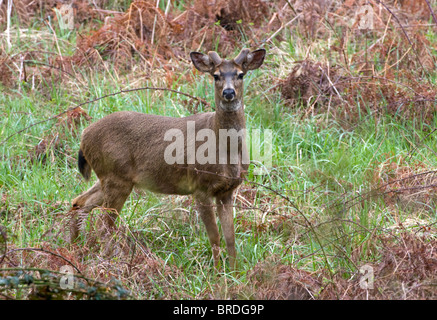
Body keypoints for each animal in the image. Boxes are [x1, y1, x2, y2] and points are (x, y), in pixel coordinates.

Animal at [70, 48, 266, 270]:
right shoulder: (200, 186)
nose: (229, 92)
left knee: (79, 202)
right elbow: (214, 236)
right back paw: (110, 262)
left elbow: (230, 237)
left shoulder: (227, 190)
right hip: (115, 178)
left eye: (241, 74)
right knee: (104, 224)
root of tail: (84, 136)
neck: (225, 149)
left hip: (110, 178)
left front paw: (234, 271)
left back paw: (74, 248)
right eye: (216, 75)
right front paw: (217, 272)